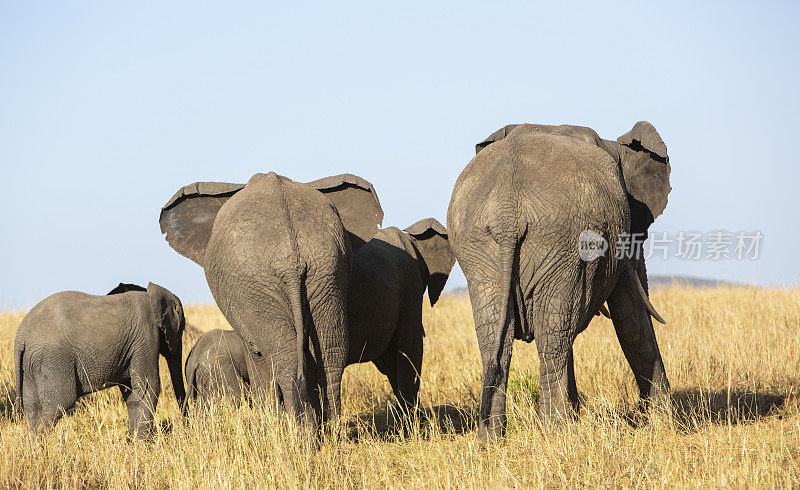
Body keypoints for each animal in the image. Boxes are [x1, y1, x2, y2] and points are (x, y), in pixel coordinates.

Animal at [13, 282, 186, 438]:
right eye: (182, 330)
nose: (186, 423)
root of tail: (21, 336)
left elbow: (131, 392)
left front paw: (132, 442)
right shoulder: (146, 334)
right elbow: (148, 387)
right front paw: (141, 446)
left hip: (30, 364)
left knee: (32, 407)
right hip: (53, 359)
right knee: (59, 405)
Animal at [158, 173, 382, 436]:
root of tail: (291, 259)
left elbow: (256, 354)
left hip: (261, 283)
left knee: (284, 359)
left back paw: (301, 435)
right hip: (325, 271)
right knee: (330, 354)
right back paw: (327, 435)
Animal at [446, 120, 672, 438]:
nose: (644, 414)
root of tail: (507, 211)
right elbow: (630, 318)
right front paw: (665, 425)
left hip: (478, 243)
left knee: (497, 338)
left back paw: (491, 438)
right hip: (561, 241)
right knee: (553, 340)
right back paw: (556, 430)